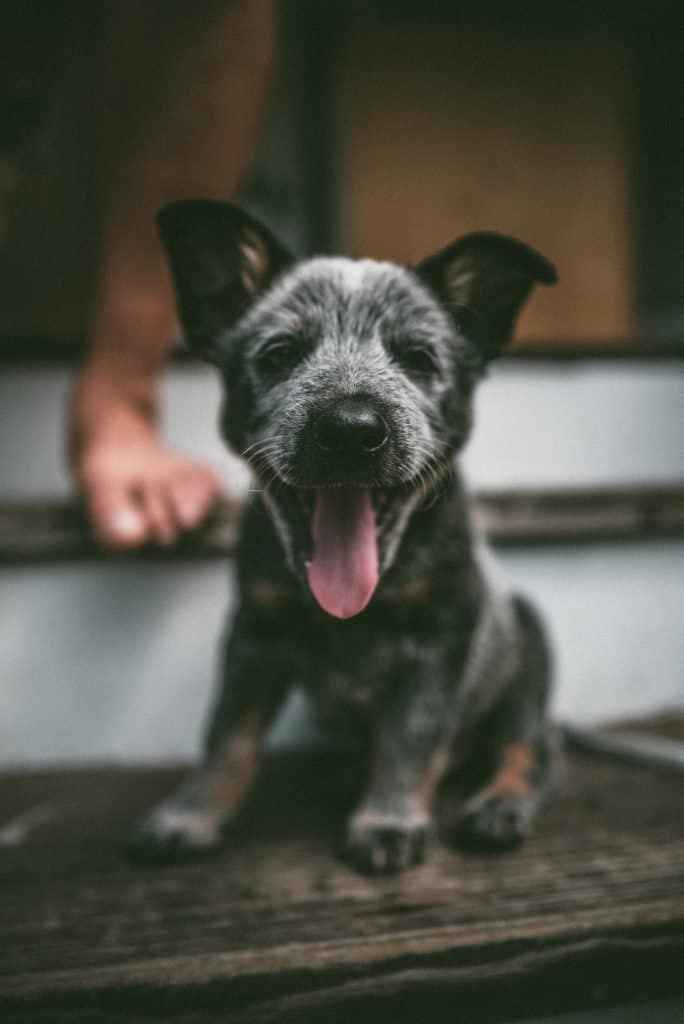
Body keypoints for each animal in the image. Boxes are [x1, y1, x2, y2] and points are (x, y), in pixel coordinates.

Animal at [131, 199, 557, 872]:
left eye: (419, 359)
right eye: (278, 354)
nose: (351, 430)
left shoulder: (439, 634)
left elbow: (409, 736)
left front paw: (386, 819)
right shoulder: (255, 633)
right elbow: (227, 735)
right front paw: (189, 815)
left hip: (527, 656)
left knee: (529, 745)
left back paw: (500, 804)